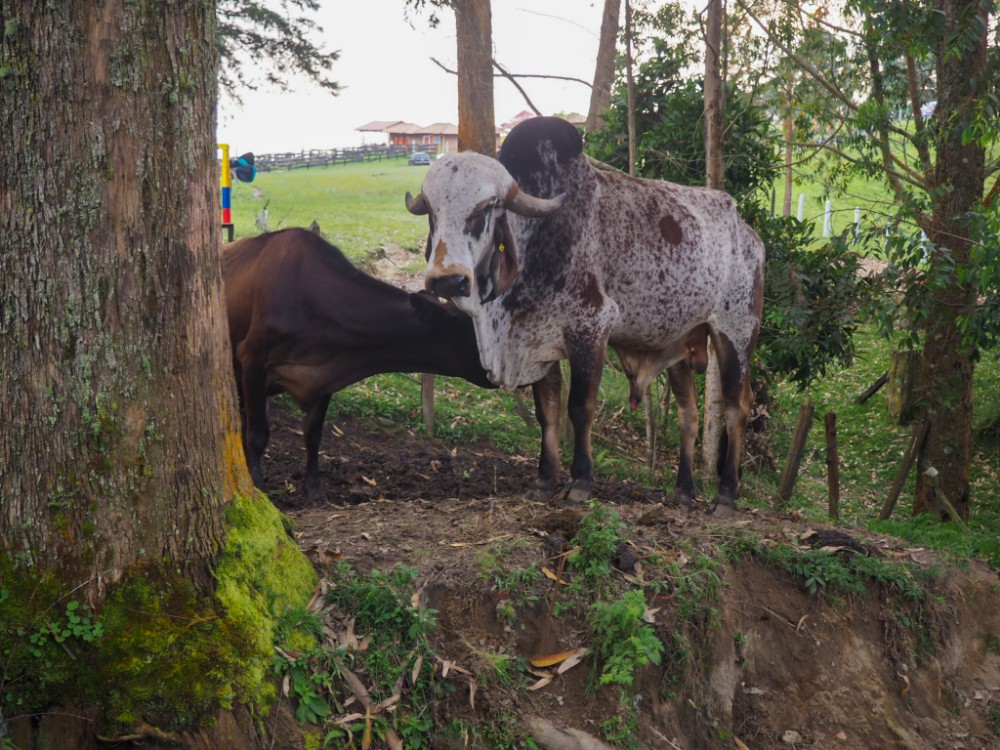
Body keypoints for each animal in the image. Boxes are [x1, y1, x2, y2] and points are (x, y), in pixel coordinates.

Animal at [223, 228, 495, 502]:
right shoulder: (252, 360)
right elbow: (258, 433)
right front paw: (256, 484)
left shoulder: (326, 374)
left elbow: (313, 434)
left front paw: (314, 488)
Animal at [405, 116, 764, 516]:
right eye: (432, 211)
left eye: (486, 208)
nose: (447, 280)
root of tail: (748, 233)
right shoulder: (537, 342)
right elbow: (547, 412)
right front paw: (544, 479)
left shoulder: (590, 328)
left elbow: (579, 408)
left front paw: (579, 482)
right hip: (681, 346)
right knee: (689, 414)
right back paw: (684, 493)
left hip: (735, 332)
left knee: (736, 407)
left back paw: (726, 497)